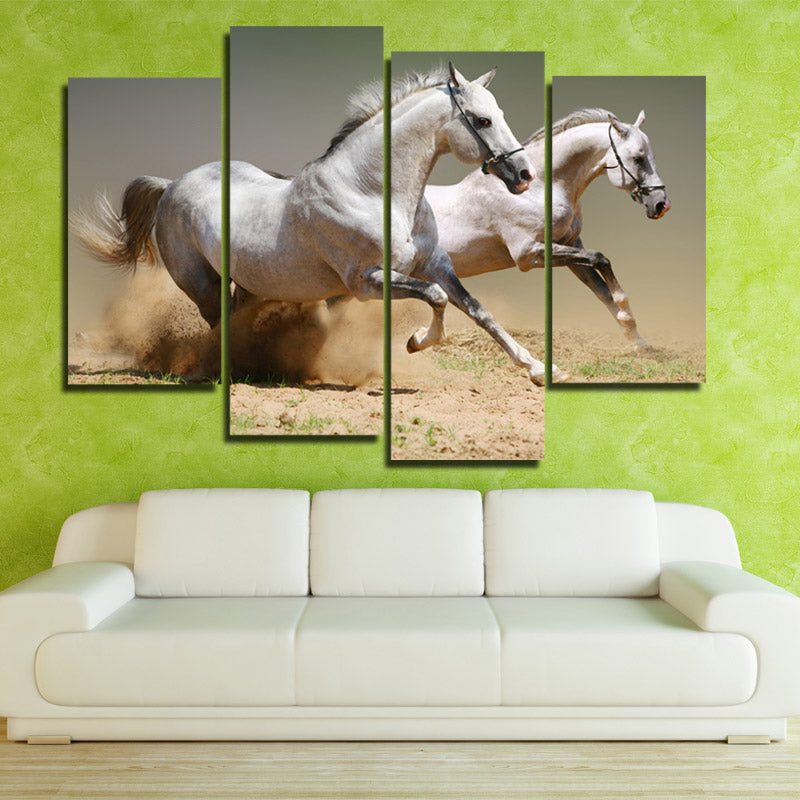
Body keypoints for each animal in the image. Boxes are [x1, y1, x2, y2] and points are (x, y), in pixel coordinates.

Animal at [71, 63, 540, 379]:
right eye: (482, 120)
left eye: (500, 113)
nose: (523, 175)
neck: (368, 190)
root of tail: (171, 185)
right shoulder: (367, 282)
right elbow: (437, 300)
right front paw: (416, 342)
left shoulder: (435, 264)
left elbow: (478, 310)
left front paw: (536, 367)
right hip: (202, 284)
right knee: (219, 324)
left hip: (249, 283)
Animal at [425, 108, 671, 361]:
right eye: (638, 158)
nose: (661, 204)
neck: (538, 188)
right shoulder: (528, 254)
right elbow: (600, 259)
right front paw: (626, 313)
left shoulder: (569, 246)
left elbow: (602, 290)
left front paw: (639, 341)